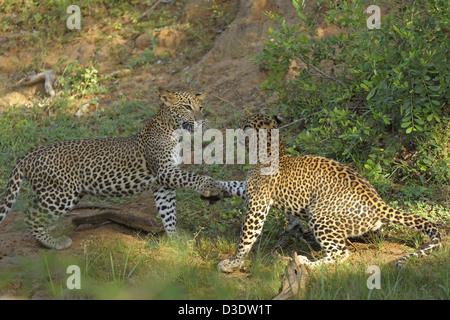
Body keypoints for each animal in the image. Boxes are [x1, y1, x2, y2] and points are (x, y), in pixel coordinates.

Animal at [0, 87, 225, 250]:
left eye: (201, 107)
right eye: (187, 107)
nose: (201, 121)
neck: (174, 131)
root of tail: (28, 155)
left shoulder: (163, 184)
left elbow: (168, 212)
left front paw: (175, 238)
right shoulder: (165, 172)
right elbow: (190, 177)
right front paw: (209, 185)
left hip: (55, 192)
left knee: (32, 209)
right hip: (61, 194)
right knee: (30, 216)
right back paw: (54, 243)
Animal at [218, 114, 440, 272]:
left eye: (243, 125)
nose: (234, 132)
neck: (272, 149)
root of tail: (378, 202)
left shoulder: (257, 204)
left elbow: (246, 236)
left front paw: (233, 263)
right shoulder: (250, 190)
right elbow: (234, 185)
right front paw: (212, 186)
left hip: (319, 215)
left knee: (340, 254)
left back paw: (307, 263)